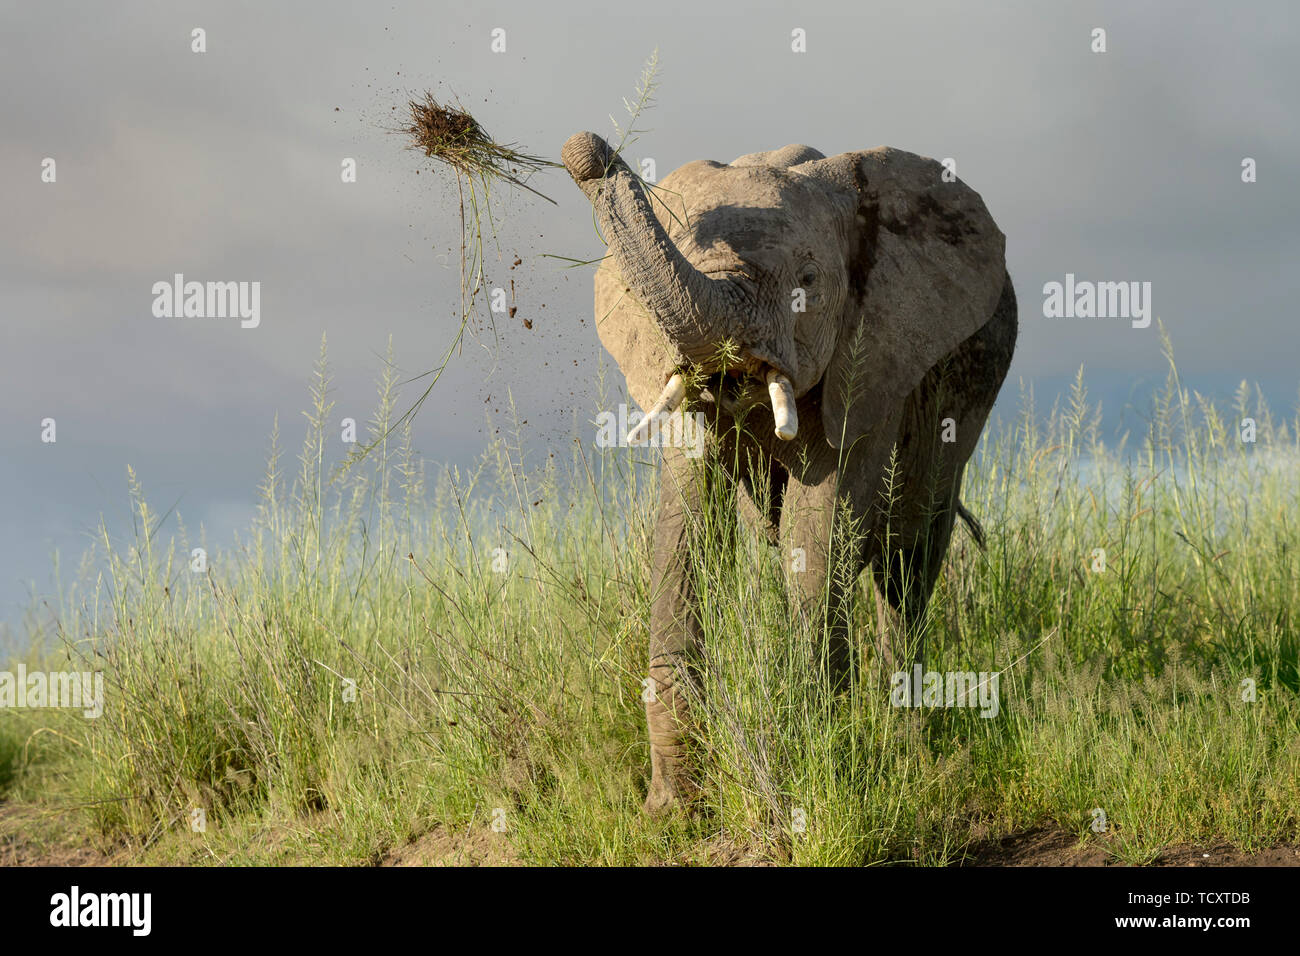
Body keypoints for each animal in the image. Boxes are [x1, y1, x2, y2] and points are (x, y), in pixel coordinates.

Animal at [559, 130, 1013, 811]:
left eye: (808, 280)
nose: (585, 149)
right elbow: (690, 516)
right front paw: (672, 810)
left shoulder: (874, 351)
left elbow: (819, 514)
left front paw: (818, 755)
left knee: (908, 561)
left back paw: (910, 743)